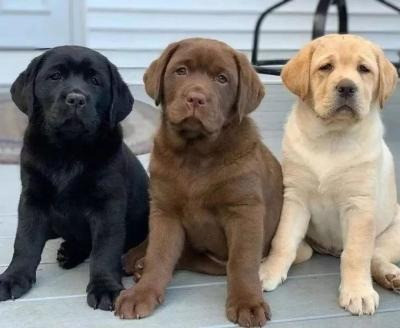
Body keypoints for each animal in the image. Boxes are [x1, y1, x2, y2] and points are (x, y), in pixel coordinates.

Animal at [0, 45, 149, 310]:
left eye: (95, 81)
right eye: (55, 76)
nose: (76, 99)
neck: (69, 150)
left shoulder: (108, 205)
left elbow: (105, 249)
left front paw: (105, 287)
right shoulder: (32, 199)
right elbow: (25, 241)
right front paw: (13, 277)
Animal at [258, 33, 398, 316]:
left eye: (364, 69)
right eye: (326, 67)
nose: (346, 87)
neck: (331, 138)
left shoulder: (359, 205)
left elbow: (356, 254)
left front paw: (358, 292)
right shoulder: (295, 198)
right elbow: (283, 240)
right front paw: (269, 271)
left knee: (376, 255)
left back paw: (391, 276)